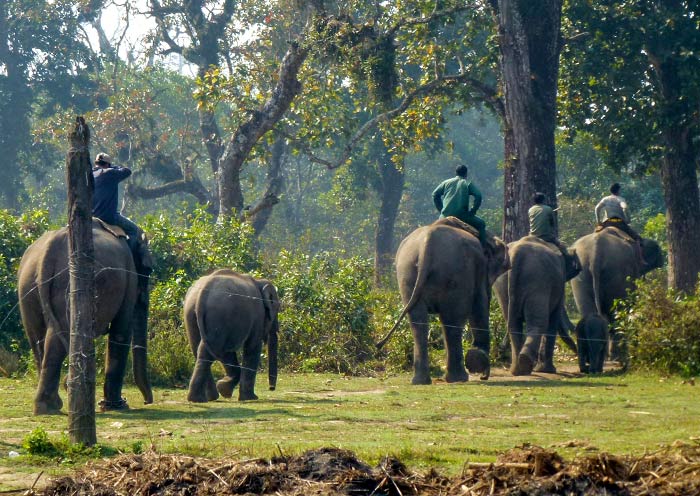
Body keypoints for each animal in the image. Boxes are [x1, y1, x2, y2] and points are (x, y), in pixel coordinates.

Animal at [17, 220, 153, 414]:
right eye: (148, 269)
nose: (147, 401)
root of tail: (48, 251)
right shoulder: (129, 277)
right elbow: (122, 331)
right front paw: (117, 406)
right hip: (67, 285)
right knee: (59, 337)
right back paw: (50, 405)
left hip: (27, 287)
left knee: (36, 338)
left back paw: (49, 405)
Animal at [185, 268, 280, 404]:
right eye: (278, 309)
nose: (271, 388)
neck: (259, 281)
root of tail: (202, 294)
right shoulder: (258, 315)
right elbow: (252, 347)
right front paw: (249, 398)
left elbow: (227, 353)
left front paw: (224, 389)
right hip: (219, 315)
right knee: (210, 350)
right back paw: (202, 399)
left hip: (192, 315)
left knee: (202, 351)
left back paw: (205, 398)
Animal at [378, 217, 508, 384]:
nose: (483, 377)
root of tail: (426, 244)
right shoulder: (478, 267)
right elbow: (480, 306)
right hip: (456, 272)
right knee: (453, 320)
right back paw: (458, 378)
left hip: (406, 273)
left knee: (418, 322)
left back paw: (421, 381)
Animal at [490, 237, 576, 376]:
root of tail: (516, 254)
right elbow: (553, 319)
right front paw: (548, 371)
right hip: (537, 280)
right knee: (539, 322)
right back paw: (526, 366)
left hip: (501, 284)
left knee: (513, 324)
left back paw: (517, 370)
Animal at [568, 227, 660, 358]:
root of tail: (595, 254)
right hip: (618, 272)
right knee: (617, 312)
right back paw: (616, 355)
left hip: (580, 276)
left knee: (588, 311)